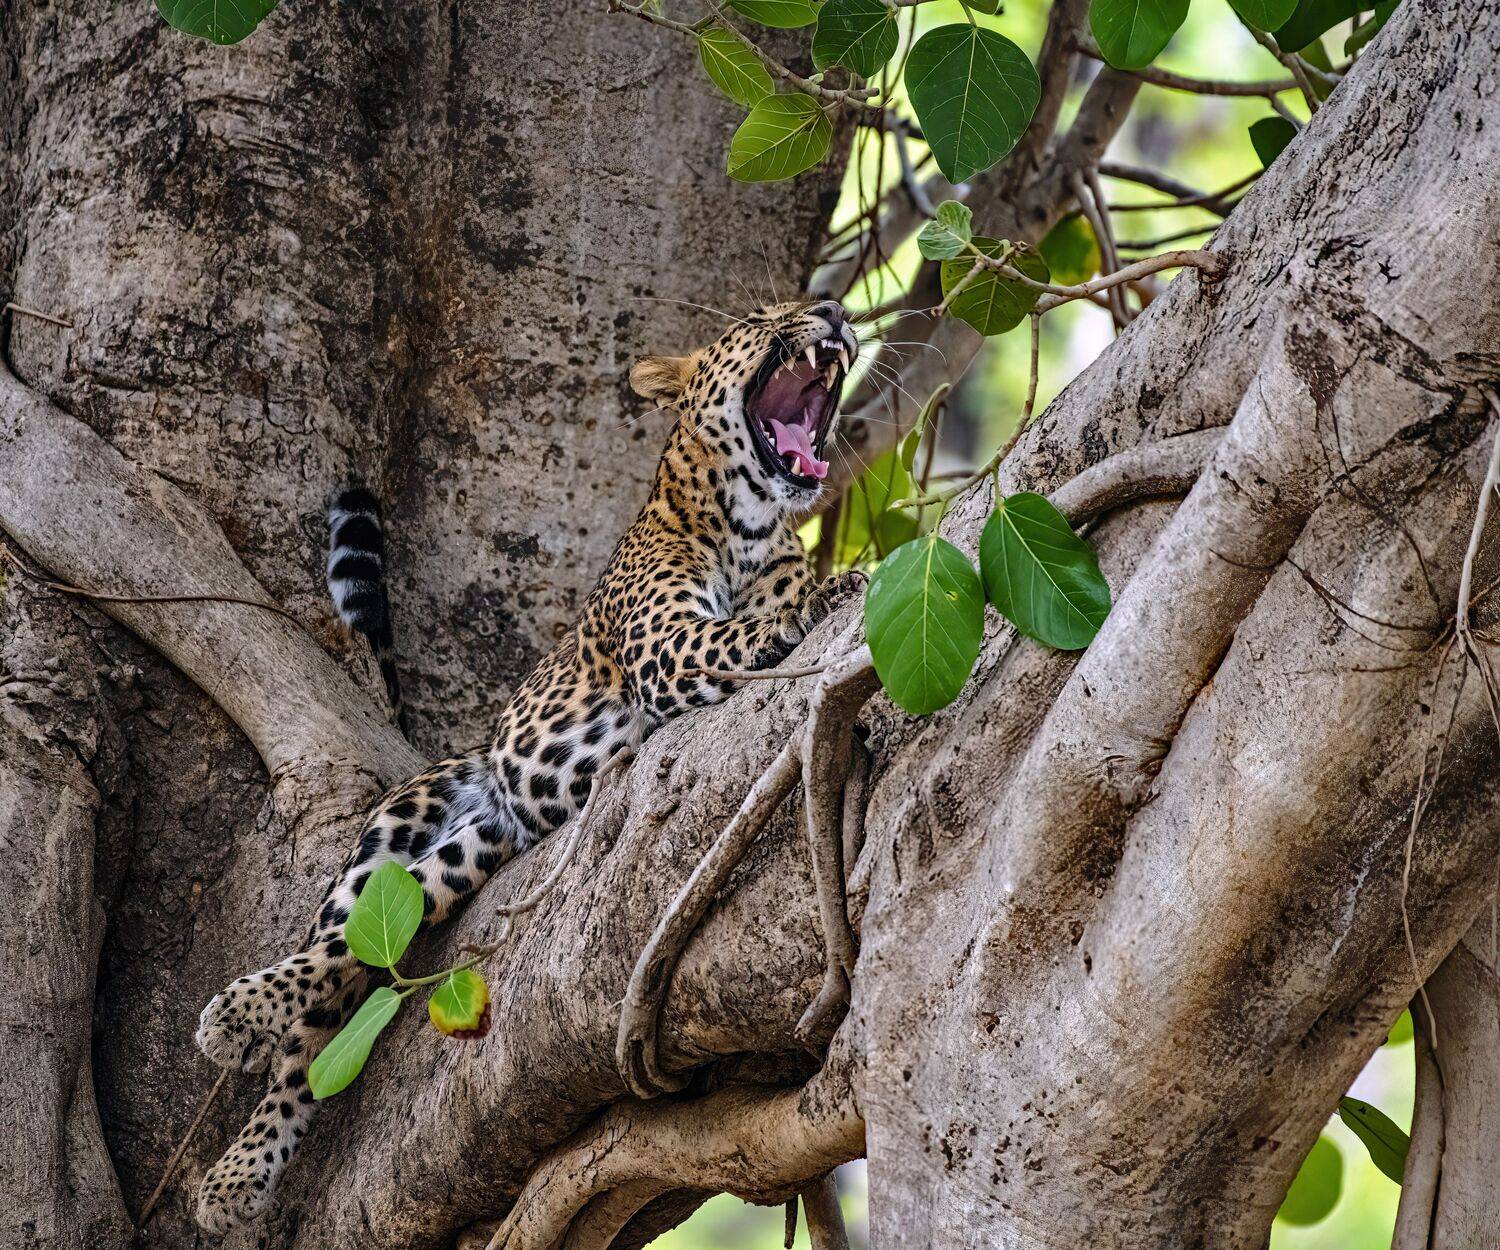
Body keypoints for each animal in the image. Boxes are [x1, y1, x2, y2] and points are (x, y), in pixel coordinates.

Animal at [193, 298, 864, 1234]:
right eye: (767, 315)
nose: (834, 310)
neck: (748, 521)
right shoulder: (666, 648)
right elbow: (742, 630)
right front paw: (825, 593)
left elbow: (769, 607)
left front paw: (826, 586)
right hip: (391, 829)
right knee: (318, 988)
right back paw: (237, 1086)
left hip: (478, 849)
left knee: (361, 958)